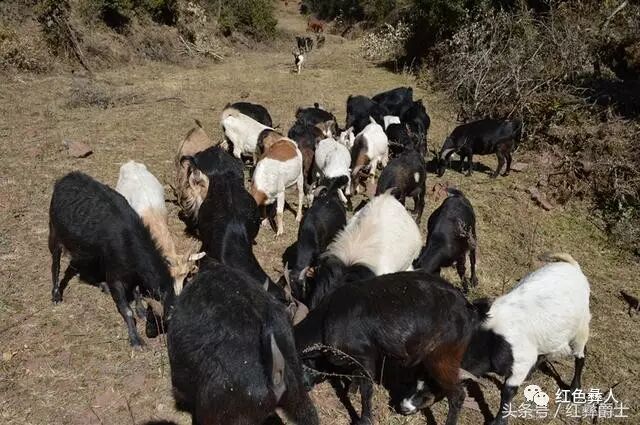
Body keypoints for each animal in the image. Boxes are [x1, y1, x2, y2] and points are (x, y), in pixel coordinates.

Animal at [49, 172, 173, 346]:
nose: (150, 332)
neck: (127, 238)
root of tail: (65, 178)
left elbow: (136, 290)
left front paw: (141, 310)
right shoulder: (115, 276)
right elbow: (127, 310)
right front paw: (135, 339)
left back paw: (101, 285)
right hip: (55, 234)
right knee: (55, 264)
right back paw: (56, 295)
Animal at [295, 271, 477, 425]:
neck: (324, 322)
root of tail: (466, 306)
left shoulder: (365, 358)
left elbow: (366, 390)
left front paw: (365, 419)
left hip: (441, 359)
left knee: (457, 394)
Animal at [401, 253, 590, 425]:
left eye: (432, 387)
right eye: (415, 379)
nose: (403, 407)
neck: (491, 340)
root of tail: (573, 267)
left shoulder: (519, 363)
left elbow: (507, 392)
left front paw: (498, 421)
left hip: (582, 327)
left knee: (581, 355)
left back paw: (574, 389)